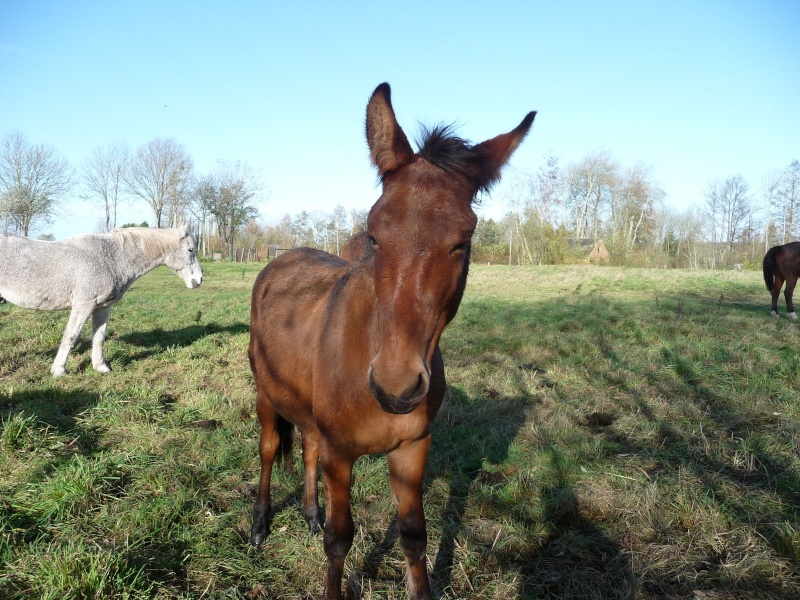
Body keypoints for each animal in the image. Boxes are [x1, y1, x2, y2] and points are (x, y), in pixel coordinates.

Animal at [0, 225, 203, 376]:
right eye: (191, 249)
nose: (199, 280)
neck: (110, 258)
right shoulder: (84, 305)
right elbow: (71, 337)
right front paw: (58, 370)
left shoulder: (102, 307)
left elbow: (99, 337)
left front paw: (101, 367)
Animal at [248, 84, 536, 600]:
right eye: (375, 235)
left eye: (462, 241)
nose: (396, 386)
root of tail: (281, 258)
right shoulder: (342, 454)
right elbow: (340, 539)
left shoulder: (412, 448)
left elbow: (414, 535)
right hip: (265, 394)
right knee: (267, 450)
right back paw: (260, 525)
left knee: (307, 445)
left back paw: (309, 513)